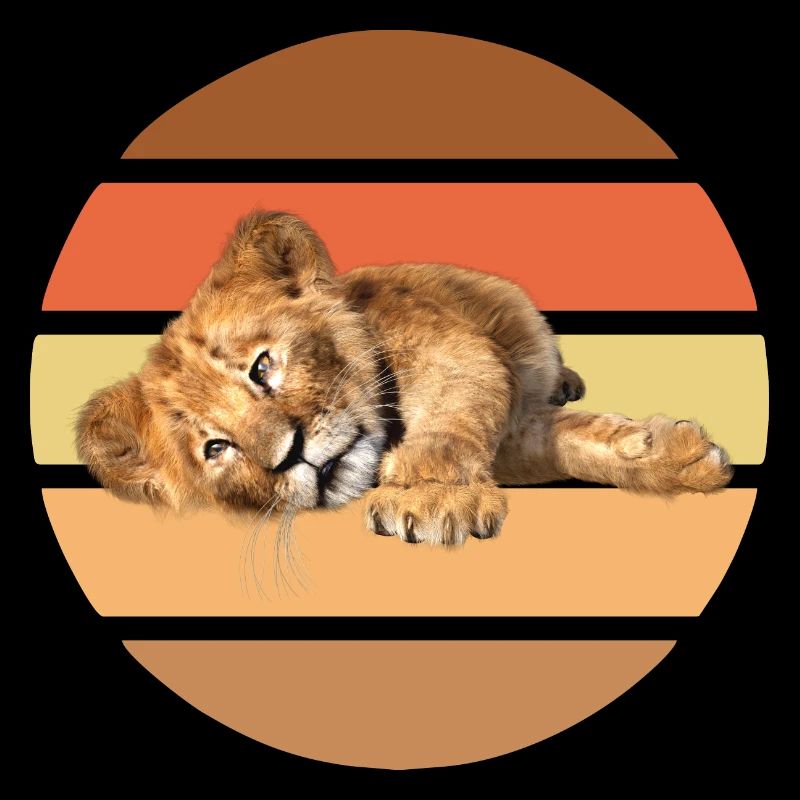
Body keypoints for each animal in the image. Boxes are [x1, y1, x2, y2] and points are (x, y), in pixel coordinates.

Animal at [76, 211, 732, 547]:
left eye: (263, 366)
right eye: (216, 449)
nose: (290, 455)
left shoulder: (456, 354)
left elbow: (451, 423)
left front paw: (431, 495)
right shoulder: (514, 435)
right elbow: (572, 438)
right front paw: (672, 454)